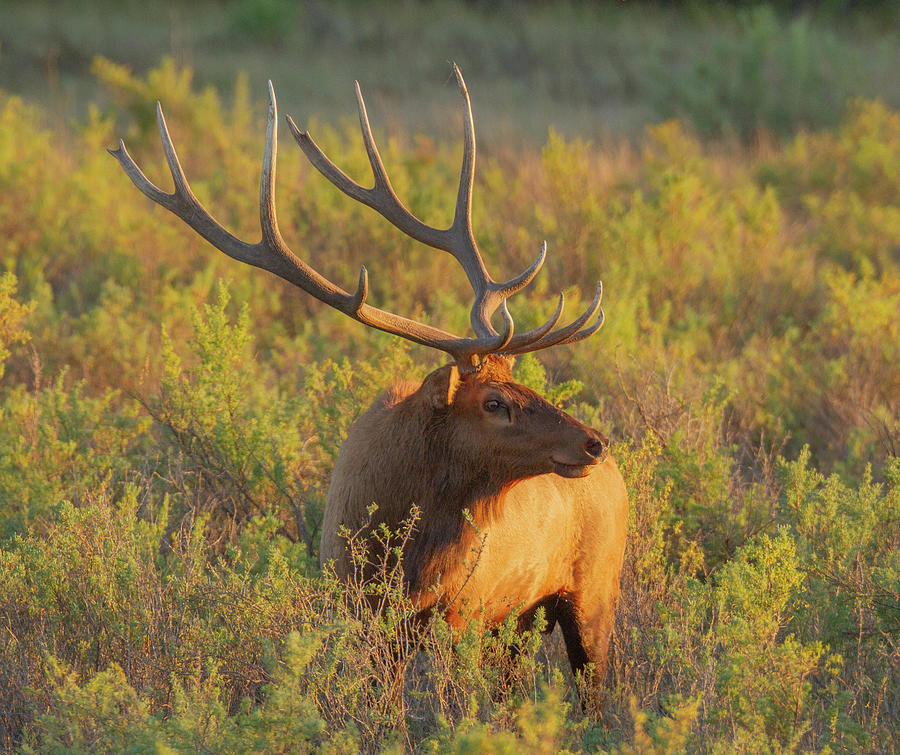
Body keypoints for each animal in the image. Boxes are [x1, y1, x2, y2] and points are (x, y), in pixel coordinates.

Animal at [110, 63, 624, 704]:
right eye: (495, 401)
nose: (594, 442)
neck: (398, 554)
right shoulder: (359, 610)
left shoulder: (462, 610)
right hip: (523, 619)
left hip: (593, 595)